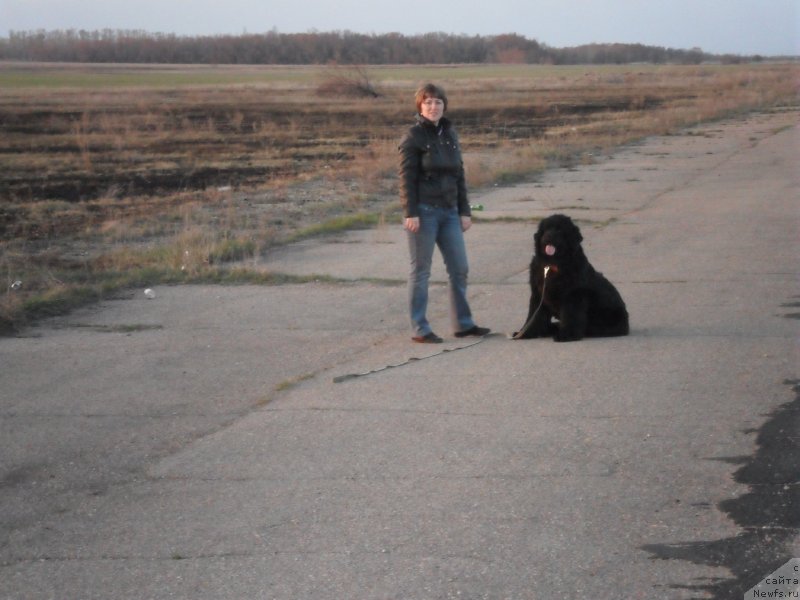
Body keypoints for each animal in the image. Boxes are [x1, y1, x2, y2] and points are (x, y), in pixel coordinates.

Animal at [512, 214, 632, 342]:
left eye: (559, 230)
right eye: (545, 229)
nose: (548, 236)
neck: (553, 264)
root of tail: (626, 324)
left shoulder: (573, 296)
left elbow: (571, 316)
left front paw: (566, 335)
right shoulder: (538, 294)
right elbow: (533, 316)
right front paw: (525, 333)